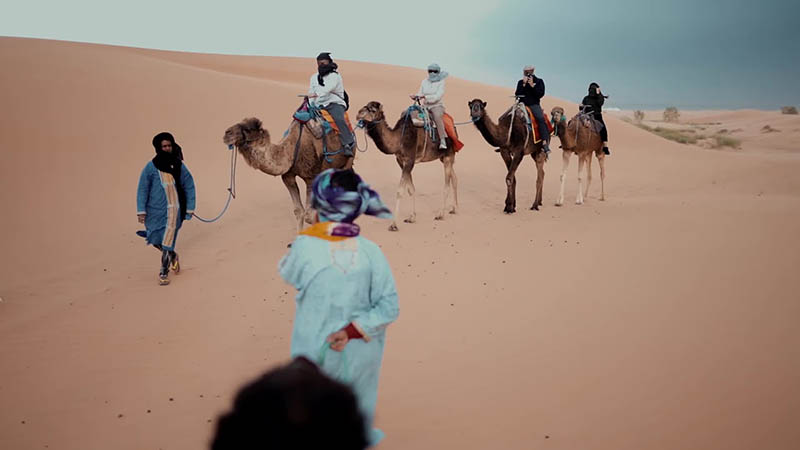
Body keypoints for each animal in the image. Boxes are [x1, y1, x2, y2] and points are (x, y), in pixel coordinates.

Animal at [222, 116, 354, 230]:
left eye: (247, 129)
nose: (227, 133)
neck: (291, 151)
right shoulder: (287, 177)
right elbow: (298, 211)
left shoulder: (310, 178)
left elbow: (309, 216)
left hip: (348, 160)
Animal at [354, 100, 460, 230]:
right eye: (365, 106)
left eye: (373, 110)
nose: (359, 114)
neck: (399, 139)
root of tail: (454, 128)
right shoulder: (401, 161)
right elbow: (411, 189)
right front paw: (412, 217)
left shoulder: (409, 160)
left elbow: (400, 191)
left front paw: (394, 224)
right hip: (443, 157)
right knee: (454, 178)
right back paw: (454, 208)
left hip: (449, 155)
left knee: (446, 185)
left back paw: (441, 214)